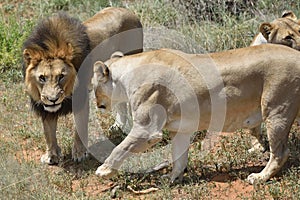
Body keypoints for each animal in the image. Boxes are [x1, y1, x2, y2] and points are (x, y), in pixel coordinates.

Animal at [22, 7, 142, 164]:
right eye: (42, 78)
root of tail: (130, 12)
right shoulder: (45, 107)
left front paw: (79, 154)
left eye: (61, 76)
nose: (53, 99)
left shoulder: (80, 97)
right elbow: (48, 132)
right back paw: (118, 127)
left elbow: (79, 126)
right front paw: (51, 156)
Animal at [91, 44, 300, 184]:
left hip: (276, 110)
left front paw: (104, 170)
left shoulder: (147, 130)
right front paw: (172, 179)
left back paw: (259, 177)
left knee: (280, 152)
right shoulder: (180, 130)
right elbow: (178, 156)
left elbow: (120, 148)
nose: (97, 105)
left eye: (92, 85)